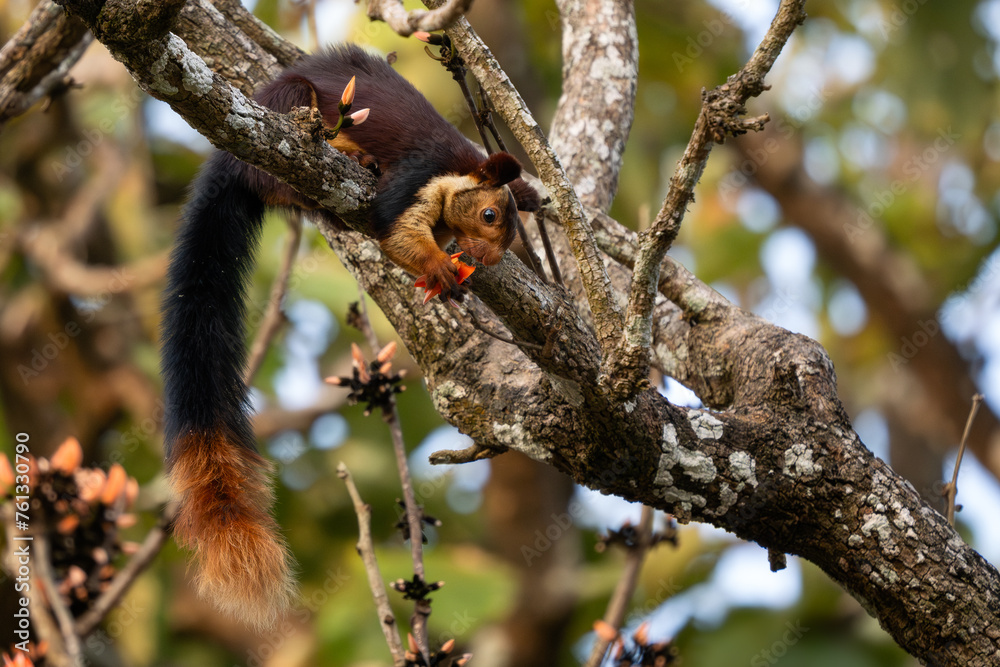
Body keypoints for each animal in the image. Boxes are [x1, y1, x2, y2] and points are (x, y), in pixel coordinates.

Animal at [161, 44, 539, 630]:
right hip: (289, 115)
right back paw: (349, 155)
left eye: (514, 229)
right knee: (283, 168)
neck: (456, 167)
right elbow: (393, 228)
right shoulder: (416, 175)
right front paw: (440, 269)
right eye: (489, 214)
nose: (488, 260)